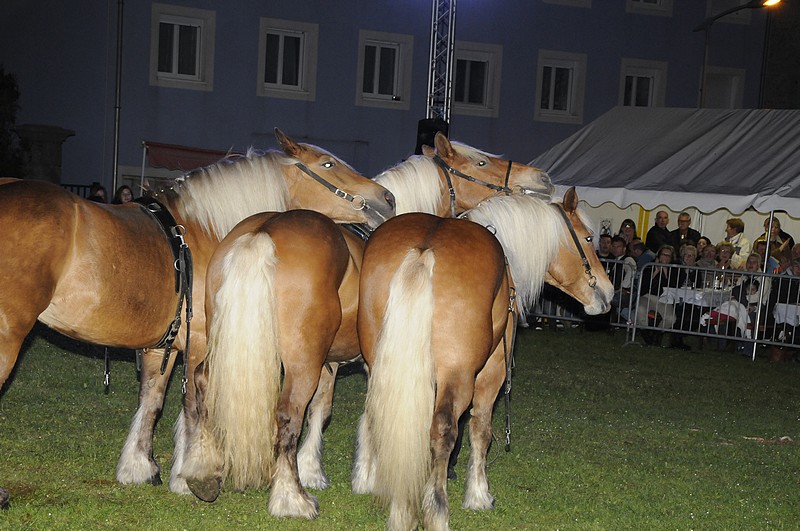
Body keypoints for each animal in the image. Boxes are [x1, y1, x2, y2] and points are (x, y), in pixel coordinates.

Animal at [0, 128, 396, 503]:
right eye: (328, 164)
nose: (386, 198)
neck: (199, 232)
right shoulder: (199, 344)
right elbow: (193, 409)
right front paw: (188, 474)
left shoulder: (162, 347)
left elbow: (152, 403)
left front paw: (139, 468)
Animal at [179, 133, 556, 519]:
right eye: (481, 162)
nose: (541, 179)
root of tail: (263, 232)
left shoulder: (332, 363)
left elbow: (324, 411)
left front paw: (318, 471)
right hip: (302, 363)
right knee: (286, 414)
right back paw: (292, 499)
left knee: (203, 385)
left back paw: (202, 473)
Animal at [351, 188, 613, 530]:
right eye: (588, 238)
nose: (607, 293)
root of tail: (424, 250)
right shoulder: (492, 370)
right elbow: (480, 428)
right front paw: (478, 494)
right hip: (459, 374)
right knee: (442, 430)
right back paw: (433, 511)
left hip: (381, 363)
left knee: (377, 413)